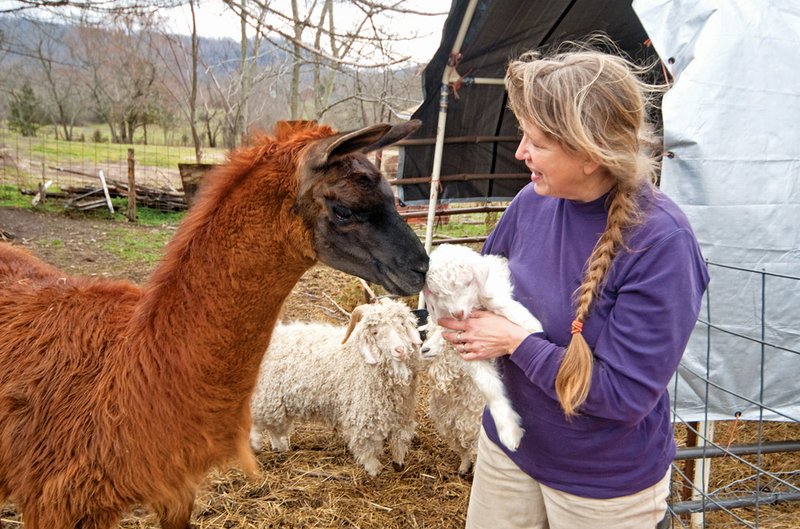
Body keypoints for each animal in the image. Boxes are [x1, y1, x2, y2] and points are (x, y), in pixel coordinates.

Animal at [250, 300, 424, 476]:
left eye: (401, 324)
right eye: (375, 332)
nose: (400, 350)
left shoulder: (402, 413)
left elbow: (400, 439)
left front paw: (399, 463)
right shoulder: (363, 415)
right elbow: (366, 445)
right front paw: (374, 469)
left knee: (274, 427)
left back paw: (281, 448)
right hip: (267, 396)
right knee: (258, 424)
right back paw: (256, 446)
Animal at [422, 241, 540, 452]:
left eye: (468, 283)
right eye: (438, 293)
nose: (458, 314)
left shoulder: (494, 280)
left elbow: (496, 300)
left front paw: (530, 324)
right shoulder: (465, 349)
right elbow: (488, 386)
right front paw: (509, 431)